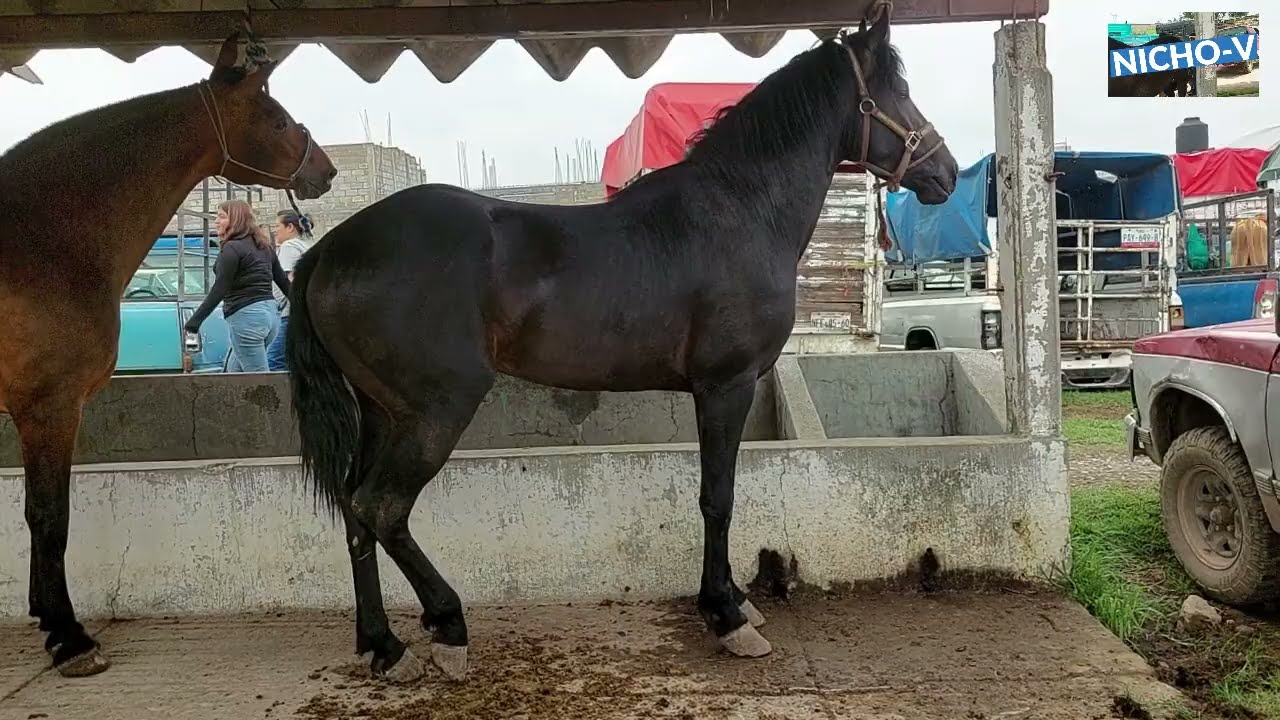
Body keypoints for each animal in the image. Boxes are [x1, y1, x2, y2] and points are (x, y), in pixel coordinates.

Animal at [0, 32, 337, 678]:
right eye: (278, 119)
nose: (326, 170)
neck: (42, 242)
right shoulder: (48, 406)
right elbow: (48, 517)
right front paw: (68, 637)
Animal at [286, 8, 957, 684]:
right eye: (898, 90)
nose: (946, 171)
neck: (740, 212)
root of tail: (331, 248)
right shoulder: (726, 386)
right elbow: (718, 497)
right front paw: (726, 615)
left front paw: (736, 600)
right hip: (436, 409)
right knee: (381, 508)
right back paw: (445, 625)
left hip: (381, 411)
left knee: (354, 511)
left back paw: (382, 644)